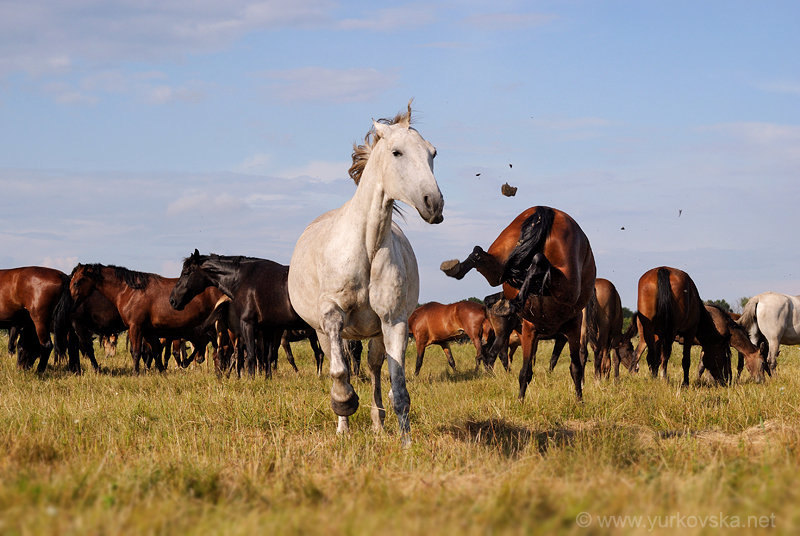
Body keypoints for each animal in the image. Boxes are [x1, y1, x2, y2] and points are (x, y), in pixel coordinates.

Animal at [70, 264, 222, 372]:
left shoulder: (136, 327)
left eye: (77, 282)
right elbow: (155, 352)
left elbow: (137, 352)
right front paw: (161, 371)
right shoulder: (149, 331)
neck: (130, 291)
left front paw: (135, 373)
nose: (70, 303)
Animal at [168, 250, 316, 378]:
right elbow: (267, 357)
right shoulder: (267, 328)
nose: (172, 300)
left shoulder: (248, 325)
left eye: (186, 272)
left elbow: (251, 356)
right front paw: (267, 379)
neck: (242, 279)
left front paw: (251, 380)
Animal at [286, 101, 444, 444]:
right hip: (325, 332)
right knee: (342, 362)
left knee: (373, 370)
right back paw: (343, 427)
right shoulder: (332, 314)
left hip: (374, 335)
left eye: (433, 153)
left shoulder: (393, 322)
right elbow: (340, 370)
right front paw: (344, 403)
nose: (434, 204)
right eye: (397, 152)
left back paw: (377, 422)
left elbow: (399, 388)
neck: (367, 247)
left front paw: (406, 443)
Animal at [440, 207, 596, 400]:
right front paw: (579, 400)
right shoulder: (569, 330)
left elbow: (526, 371)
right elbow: (573, 367)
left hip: (500, 259)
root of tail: (547, 210)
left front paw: (520, 401)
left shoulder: (530, 331)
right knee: (539, 261)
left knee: (481, 255)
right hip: (567, 286)